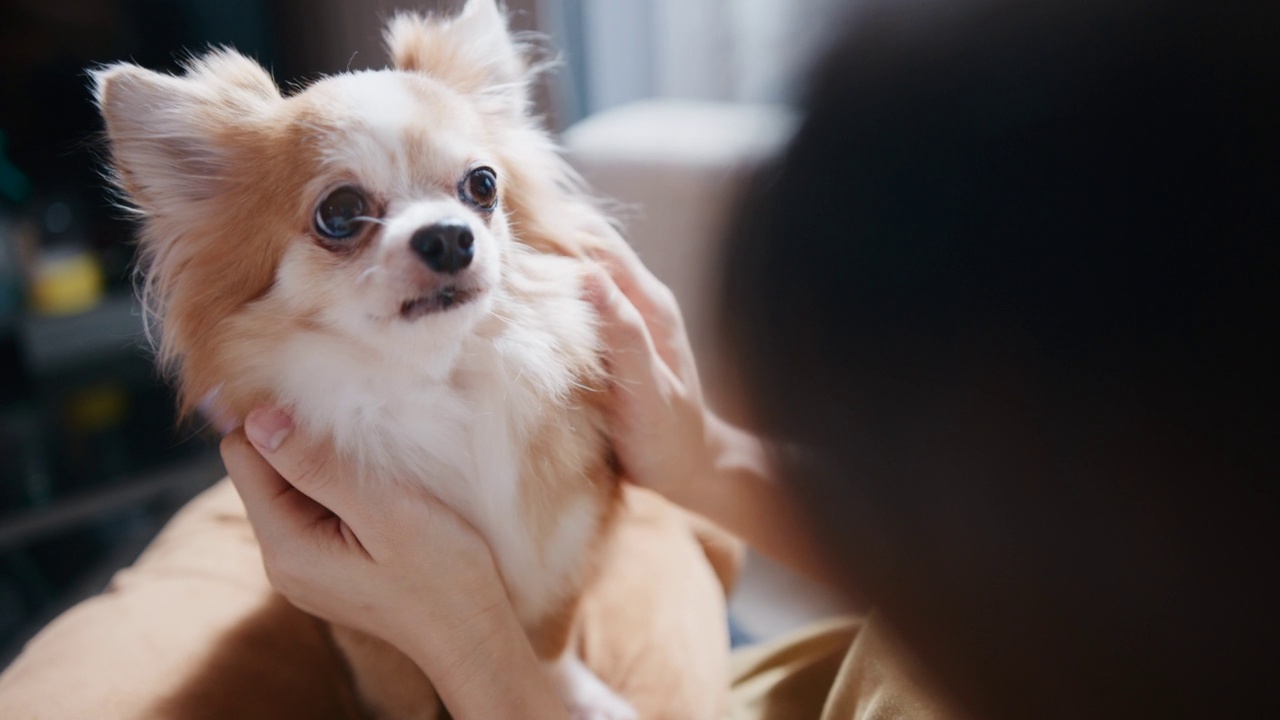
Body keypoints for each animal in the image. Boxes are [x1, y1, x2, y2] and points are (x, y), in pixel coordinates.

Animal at [92, 2, 640, 712]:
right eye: (341, 212)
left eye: (482, 186)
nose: (449, 236)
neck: (434, 382)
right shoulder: (367, 630)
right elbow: (402, 693)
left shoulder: (561, 546)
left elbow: (547, 645)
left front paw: (581, 696)